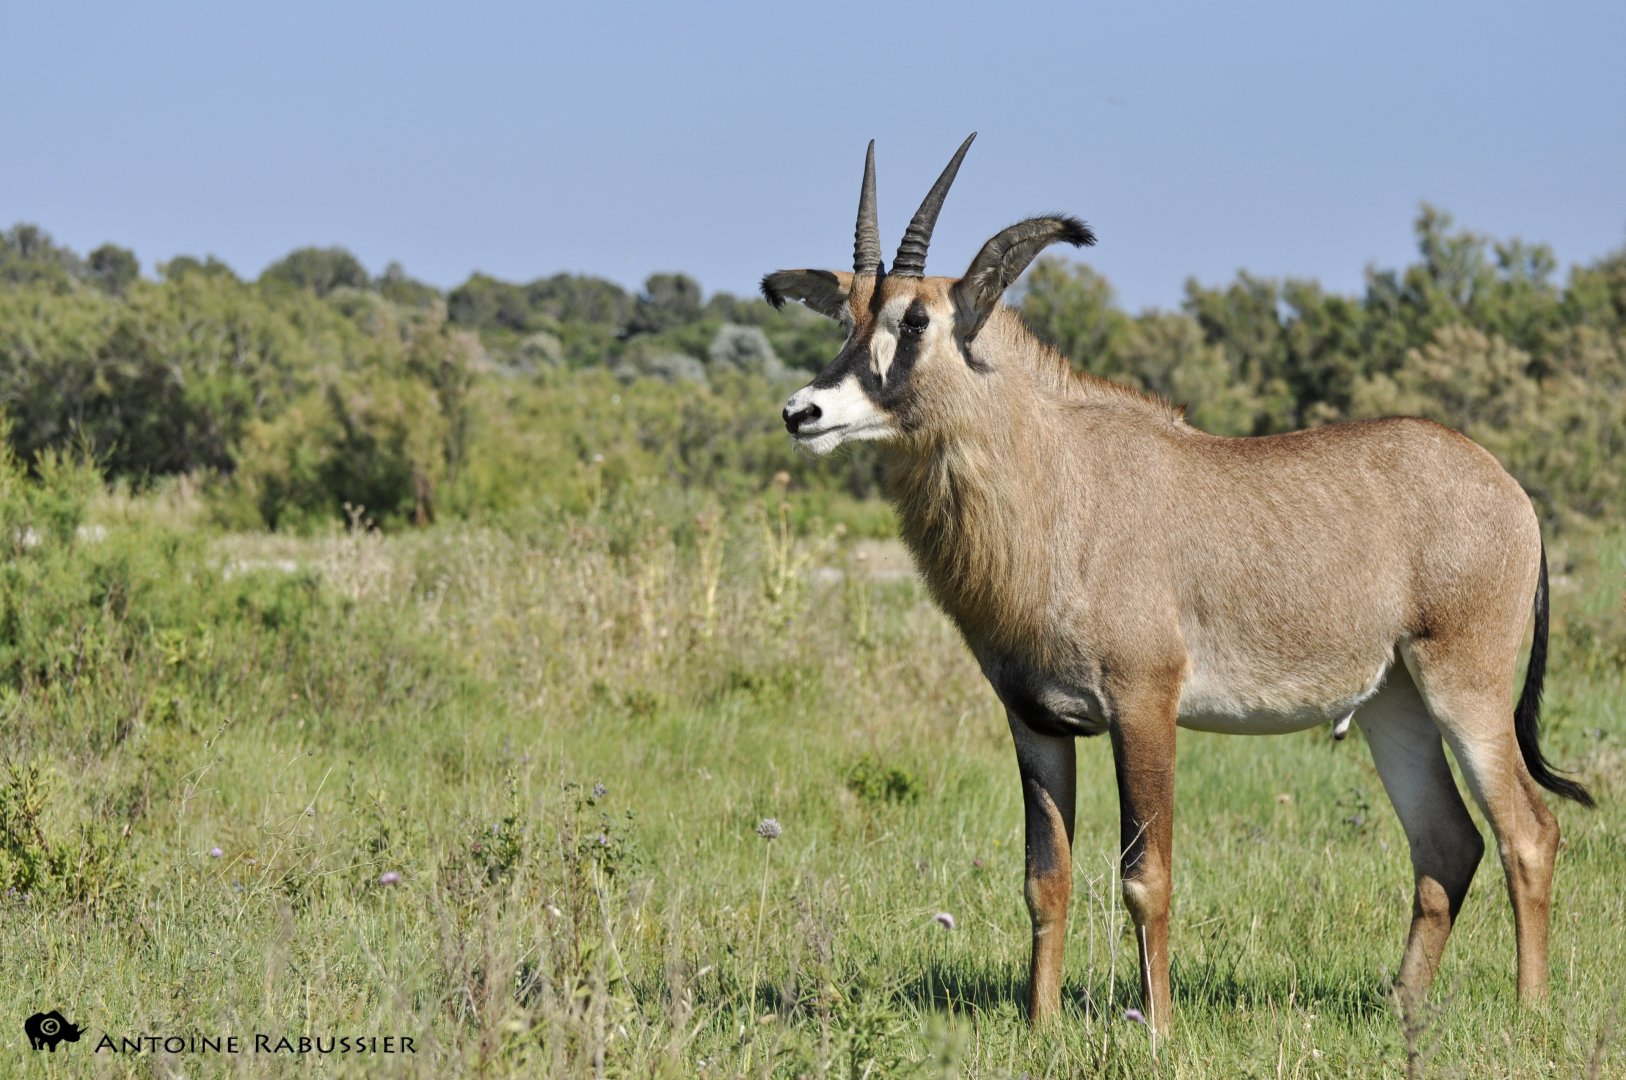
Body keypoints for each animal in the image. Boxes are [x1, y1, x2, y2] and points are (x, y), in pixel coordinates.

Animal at [762, 134, 1593, 1032]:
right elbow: (1044, 879)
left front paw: (1155, 1028)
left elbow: (1144, 876)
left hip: (1464, 688)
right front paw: (1040, 1024)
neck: (1060, 481)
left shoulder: (1143, 704)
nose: (803, 412)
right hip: (1393, 705)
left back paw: (1531, 1010)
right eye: (845, 318)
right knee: (1447, 842)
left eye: (915, 320)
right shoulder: (1036, 722)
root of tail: (1511, 492)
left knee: (1528, 832)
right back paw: (1402, 1006)